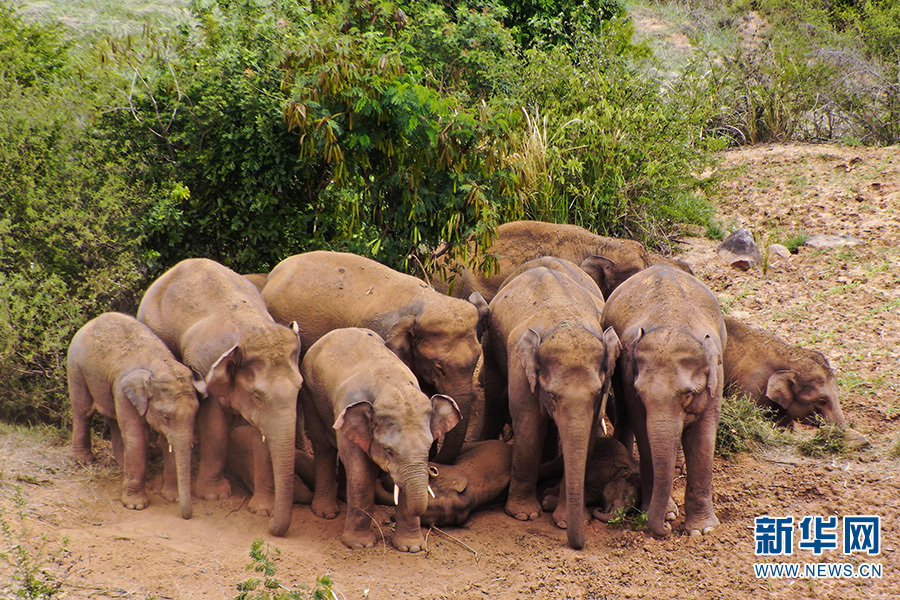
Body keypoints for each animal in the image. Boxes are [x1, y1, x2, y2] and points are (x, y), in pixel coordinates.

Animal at [68, 312, 206, 516]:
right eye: (166, 417)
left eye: (195, 414)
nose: (187, 517)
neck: (160, 364)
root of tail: (93, 321)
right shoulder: (123, 390)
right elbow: (138, 437)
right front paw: (136, 506)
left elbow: (165, 440)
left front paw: (172, 498)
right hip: (76, 367)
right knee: (82, 411)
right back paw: (83, 461)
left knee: (113, 417)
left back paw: (121, 464)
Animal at [137, 256, 304, 536]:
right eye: (257, 396)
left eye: (300, 387)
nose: (271, 527)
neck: (251, 327)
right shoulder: (206, 370)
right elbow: (215, 426)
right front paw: (214, 496)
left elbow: (261, 436)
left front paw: (263, 510)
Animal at [300, 328, 460, 552]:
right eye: (389, 450)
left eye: (428, 448)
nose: (434, 471)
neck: (391, 385)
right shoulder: (345, 412)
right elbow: (361, 473)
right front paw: (360, 545)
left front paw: (411, 548)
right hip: (310, 391)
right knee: (323, 446)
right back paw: (326, 512)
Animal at [600, 264, 728, 536]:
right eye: (641, 393)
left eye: (689, 394)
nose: (668, 528)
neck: (672, 323)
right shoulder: (630, 374)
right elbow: (643, 430)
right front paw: (665, 514)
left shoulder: (716, 376)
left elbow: (704, 436)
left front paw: (702, 530)